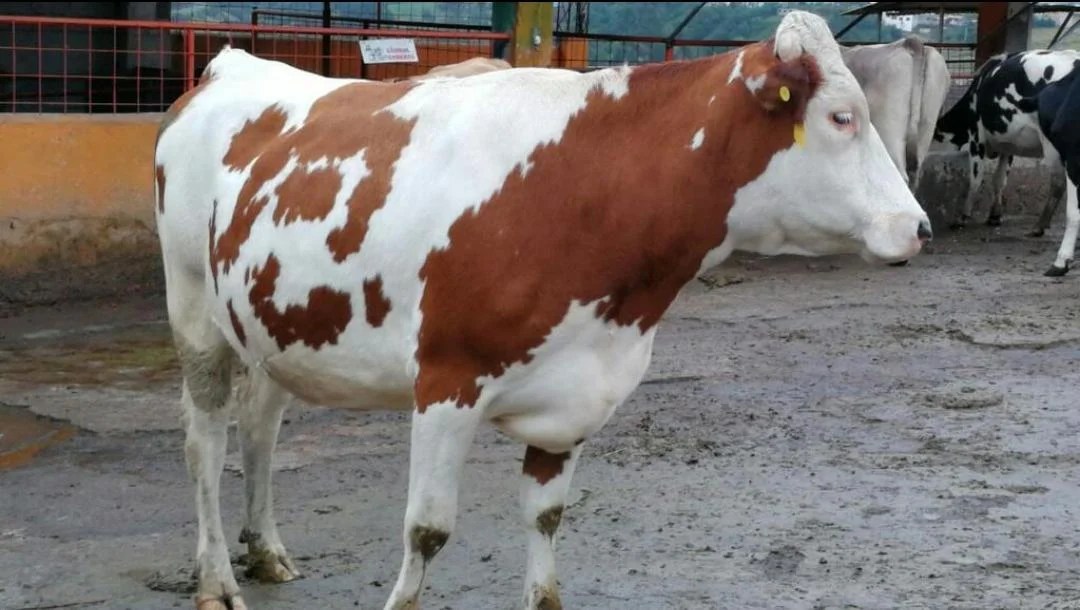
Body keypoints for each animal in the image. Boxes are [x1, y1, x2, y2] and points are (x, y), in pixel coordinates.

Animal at [153, 11, 930, 610]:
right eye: (842, 117)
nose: (918, 226)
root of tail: (232, 64)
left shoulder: (578, 391)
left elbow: (547, 517)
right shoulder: (446, 381)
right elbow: (426, 531)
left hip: (270, 323)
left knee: (260, 423)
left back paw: (267, 550)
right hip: (193, 305)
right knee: (203, 440)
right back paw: (217, 580)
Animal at [934, 49, 1080, 276]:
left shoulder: (977, 137)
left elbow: (975, 180)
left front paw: (963, 216)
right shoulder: (1008, 146)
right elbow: (999, 180)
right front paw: (995, 215)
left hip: (1052, 145)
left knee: (1057, 183)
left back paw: (1041, 227)